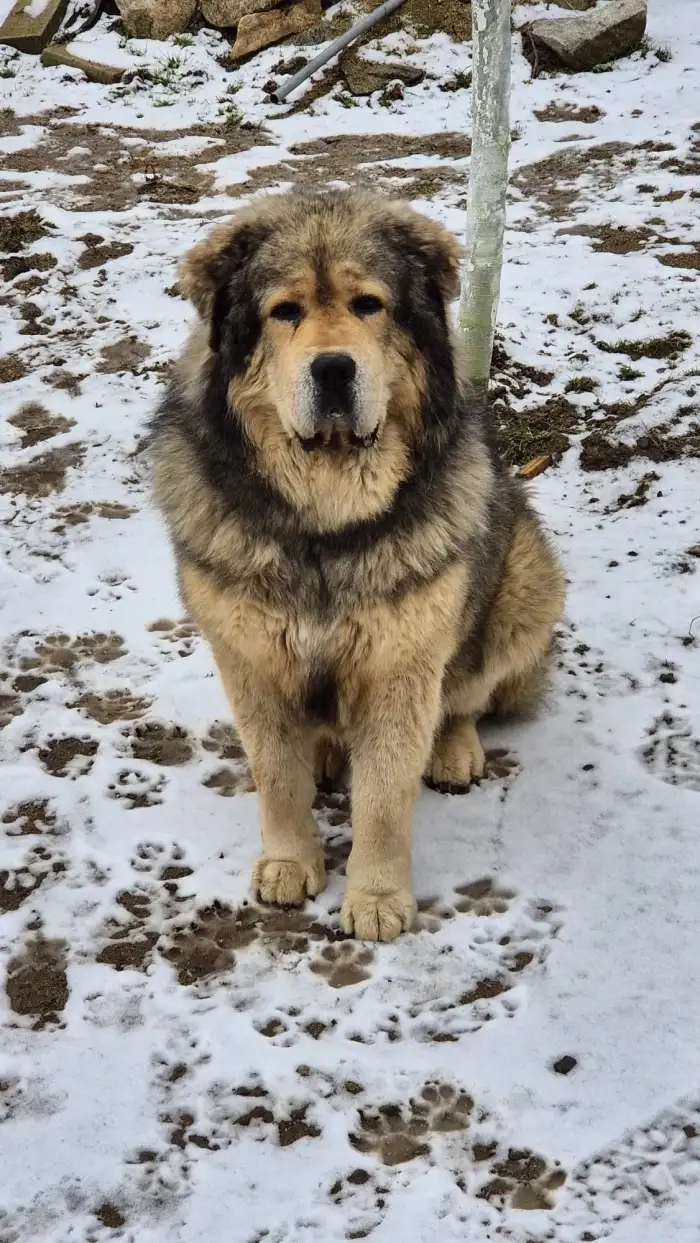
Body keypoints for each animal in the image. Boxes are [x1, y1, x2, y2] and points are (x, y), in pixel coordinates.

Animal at [150, 188, 565, 942]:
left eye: (368, 304)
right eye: (285, 311)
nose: (334, 369)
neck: (326, 518)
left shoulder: (401, 664)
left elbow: (384, 797)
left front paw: (375, 896)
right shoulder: (249, 657)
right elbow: (275, 776)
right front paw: (290, 860)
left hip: (526, 581)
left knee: (467, 695)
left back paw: (453, 747)